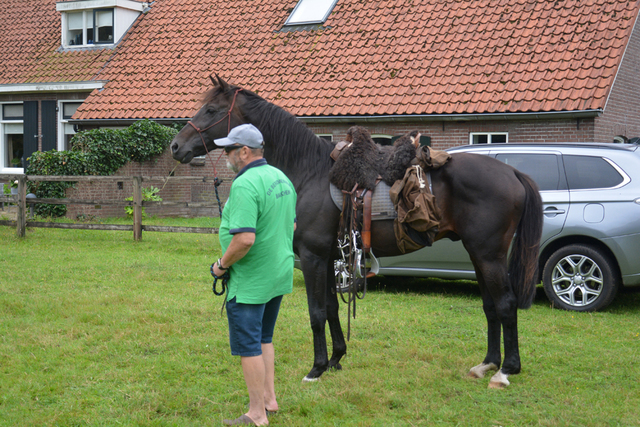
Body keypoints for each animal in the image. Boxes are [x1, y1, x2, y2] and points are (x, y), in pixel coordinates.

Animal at [169, 76, 540, 388]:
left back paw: (506, 370)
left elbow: (316, 312)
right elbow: (332, 308)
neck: (310, 172)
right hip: (478, 255)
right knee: (490, 306)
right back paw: (487, 364)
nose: (175, 146)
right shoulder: (331, 258)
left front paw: (316, 368)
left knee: (505, 304)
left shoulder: (313, 257)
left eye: (212, 110)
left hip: (488, 255)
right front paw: (336, 359)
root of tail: (512, 172)